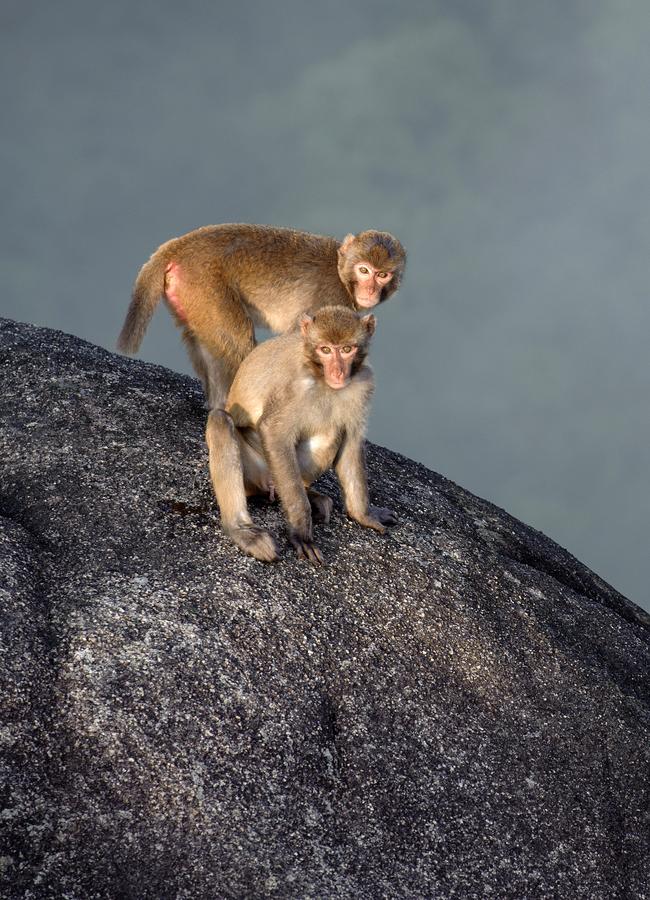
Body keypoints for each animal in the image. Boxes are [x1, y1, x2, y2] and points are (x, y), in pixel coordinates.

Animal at [114, 225, 402, 408]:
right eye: (364, 270)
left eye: (382, 274)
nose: (370, 291)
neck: (342, 273)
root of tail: (178, 245)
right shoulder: (329, 298)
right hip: (205, 286)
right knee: (236, 341)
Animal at [204, 306, 394, 568]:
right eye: (325, 349)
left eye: (347, 349)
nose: (337, 372)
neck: (320, 377)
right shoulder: (295, 387)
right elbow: (274, 431)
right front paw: (301, 533)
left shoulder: (363, 384)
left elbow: (352, 440)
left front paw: (364, 514)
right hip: (258, 471)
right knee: (221, 421)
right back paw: (241, 529)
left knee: (333, 430)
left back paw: (313, 496)